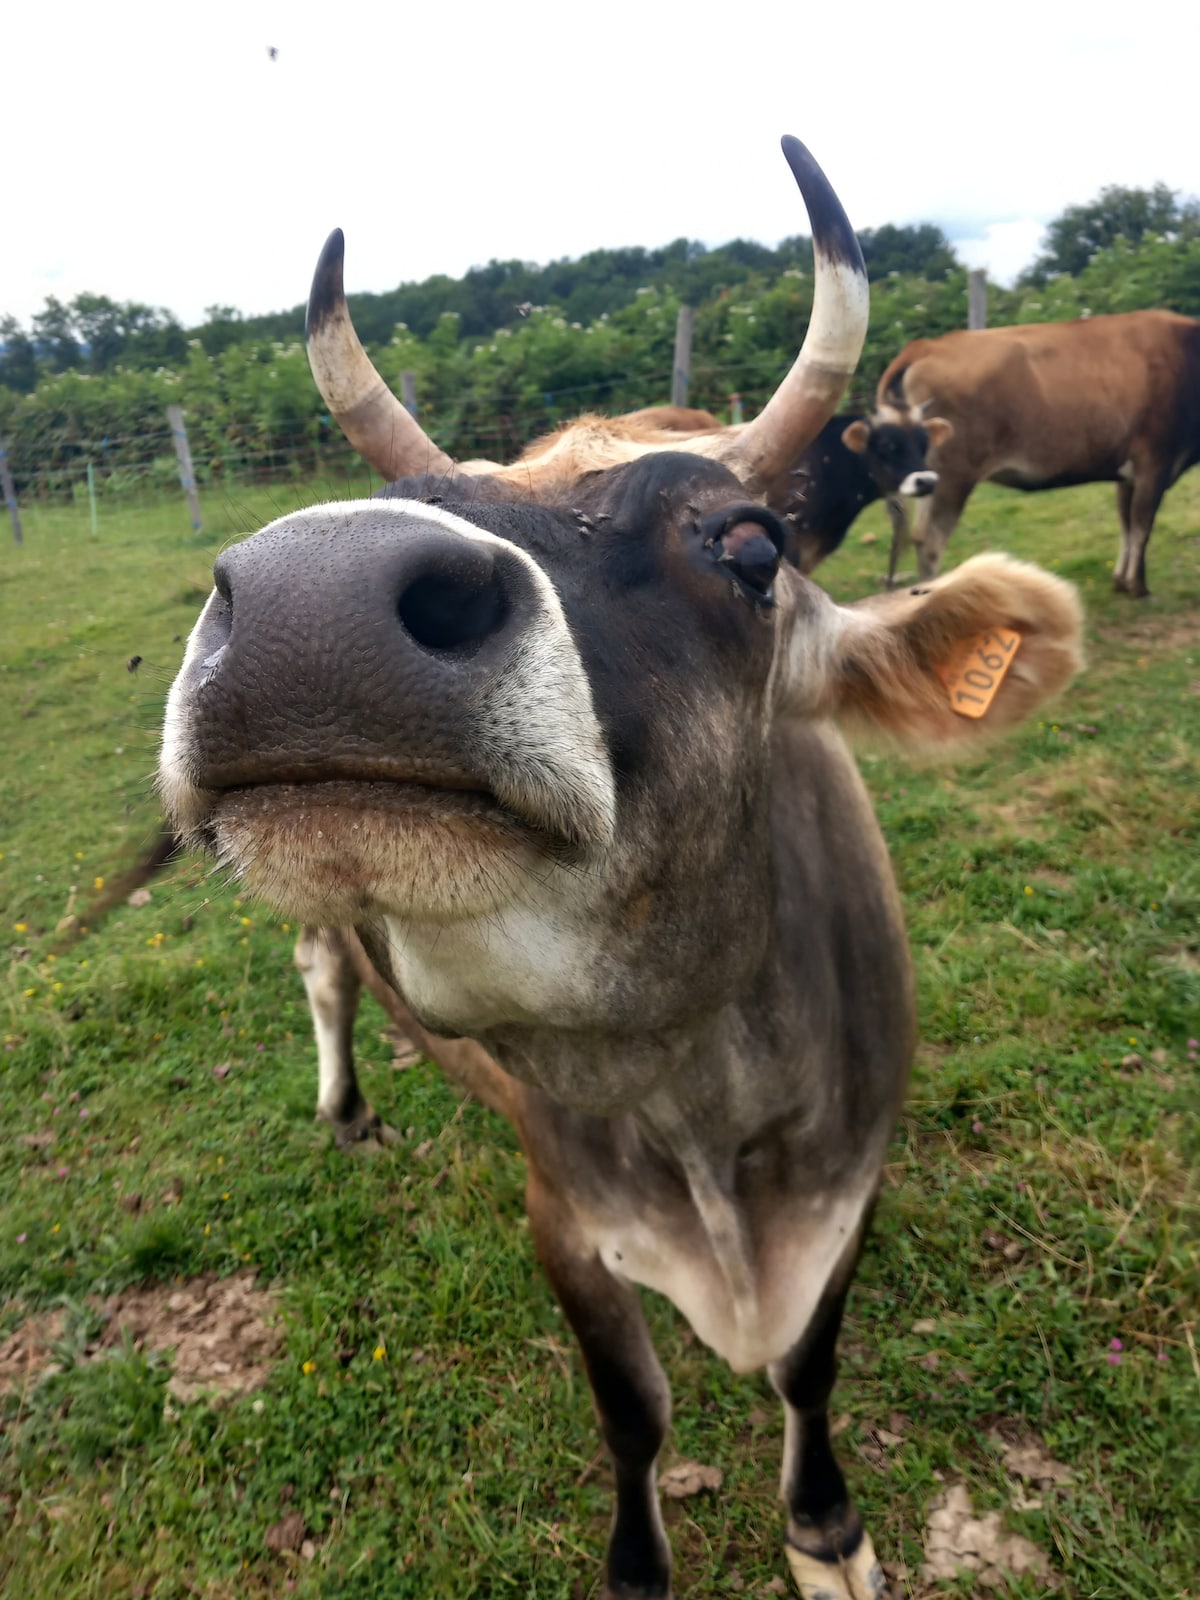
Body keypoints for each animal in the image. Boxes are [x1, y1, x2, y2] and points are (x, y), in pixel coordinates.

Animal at [155, 140, 1088, 1600]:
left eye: (753, 546)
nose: (314, 601)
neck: (707, 1114)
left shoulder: (852, 1186)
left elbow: (811, 1371)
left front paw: (826, 1529)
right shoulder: (564, 1211)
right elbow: (633, 1412)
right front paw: (641, 1562)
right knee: (324, 971)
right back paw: (348, 1107)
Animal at [876, 308, 1200, 598]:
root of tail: (926, 345)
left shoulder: (1127, 471)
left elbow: (1127, 524)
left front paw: (1121, 581)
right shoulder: (1154, 463)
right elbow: (1142, 525)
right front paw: (1138, 587)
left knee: (915, 535)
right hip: (954, 477)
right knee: (931, 541)